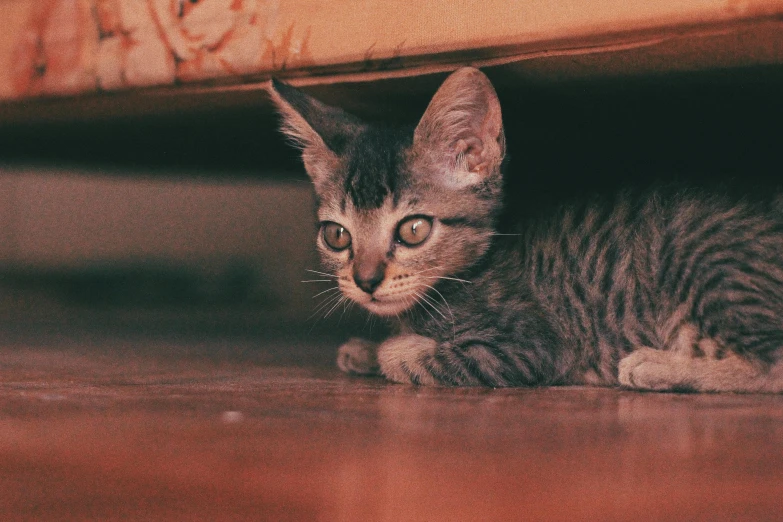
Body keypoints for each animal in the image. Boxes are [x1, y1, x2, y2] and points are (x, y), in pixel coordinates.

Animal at [268, 66, 783, 390]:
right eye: (337, 235)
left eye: (414, 229)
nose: (366, 280)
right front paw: (362, 346)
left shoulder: (529, 346)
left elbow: (408, 356)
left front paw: (384, 349)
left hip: (704, 255)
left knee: (773, 364)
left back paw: (653, 367)